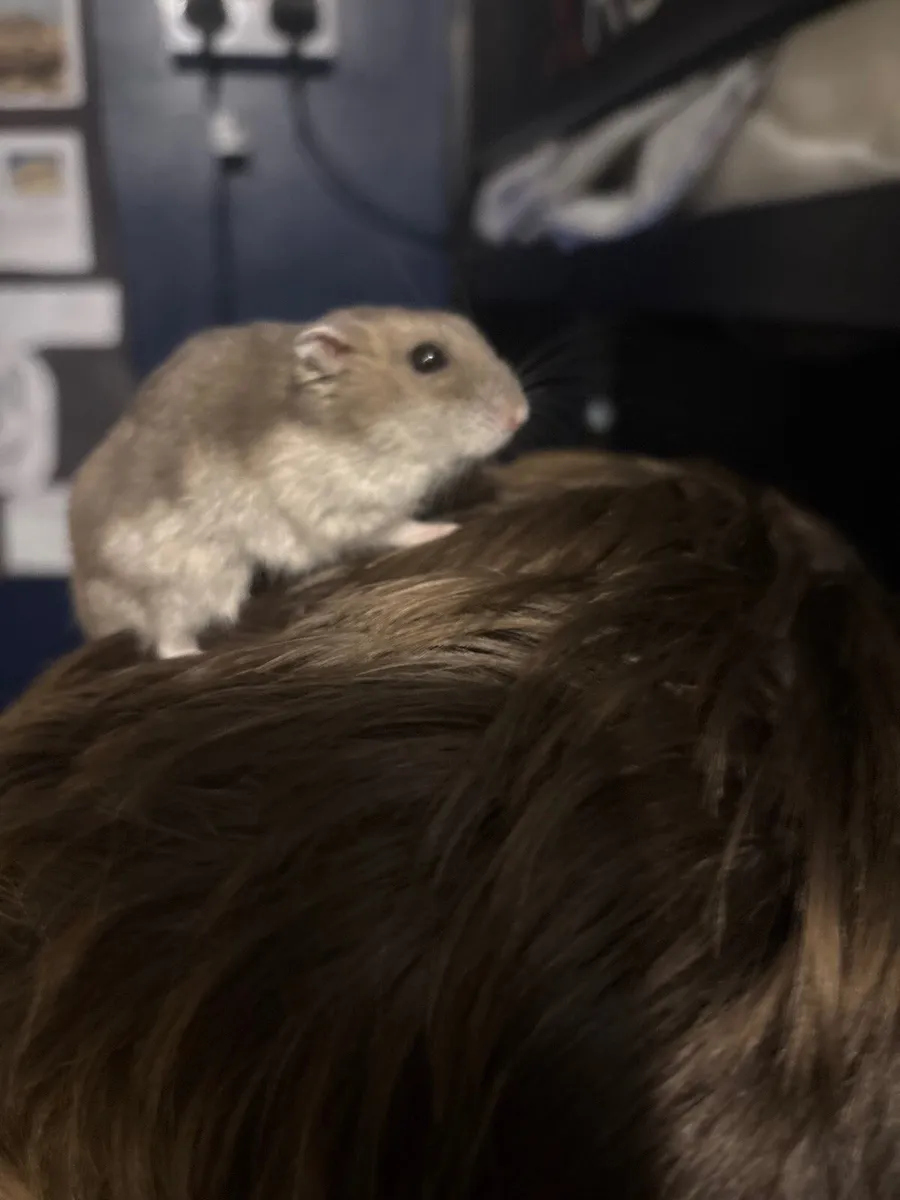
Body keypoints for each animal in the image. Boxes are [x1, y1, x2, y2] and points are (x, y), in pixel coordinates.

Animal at [69, 306, 530, 659]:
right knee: (166, 636)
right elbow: (396, 527)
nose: (520, 414)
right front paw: (443, 528)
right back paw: (192, 656)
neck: (367, 431)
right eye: (427, 358)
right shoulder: (347, 507)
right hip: (190, 578)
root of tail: (92, 610)